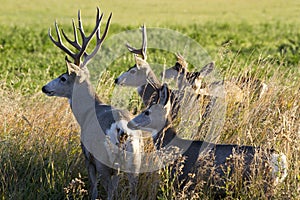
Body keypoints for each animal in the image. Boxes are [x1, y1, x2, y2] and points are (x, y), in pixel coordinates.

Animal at [41, 7, 142, 198]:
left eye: (63, 77)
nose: (44, 87)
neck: (87, 112)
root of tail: (122, 129)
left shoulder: (88, 156)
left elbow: (94, 188)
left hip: (104, 160)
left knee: (109, 191)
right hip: (136, 161)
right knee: (132, 190)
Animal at [128, 83, 288, 198]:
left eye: (147, 112)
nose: (130, 123)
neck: (174, 146)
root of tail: (281, 159)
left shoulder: (183, 181)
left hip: (265, 185)